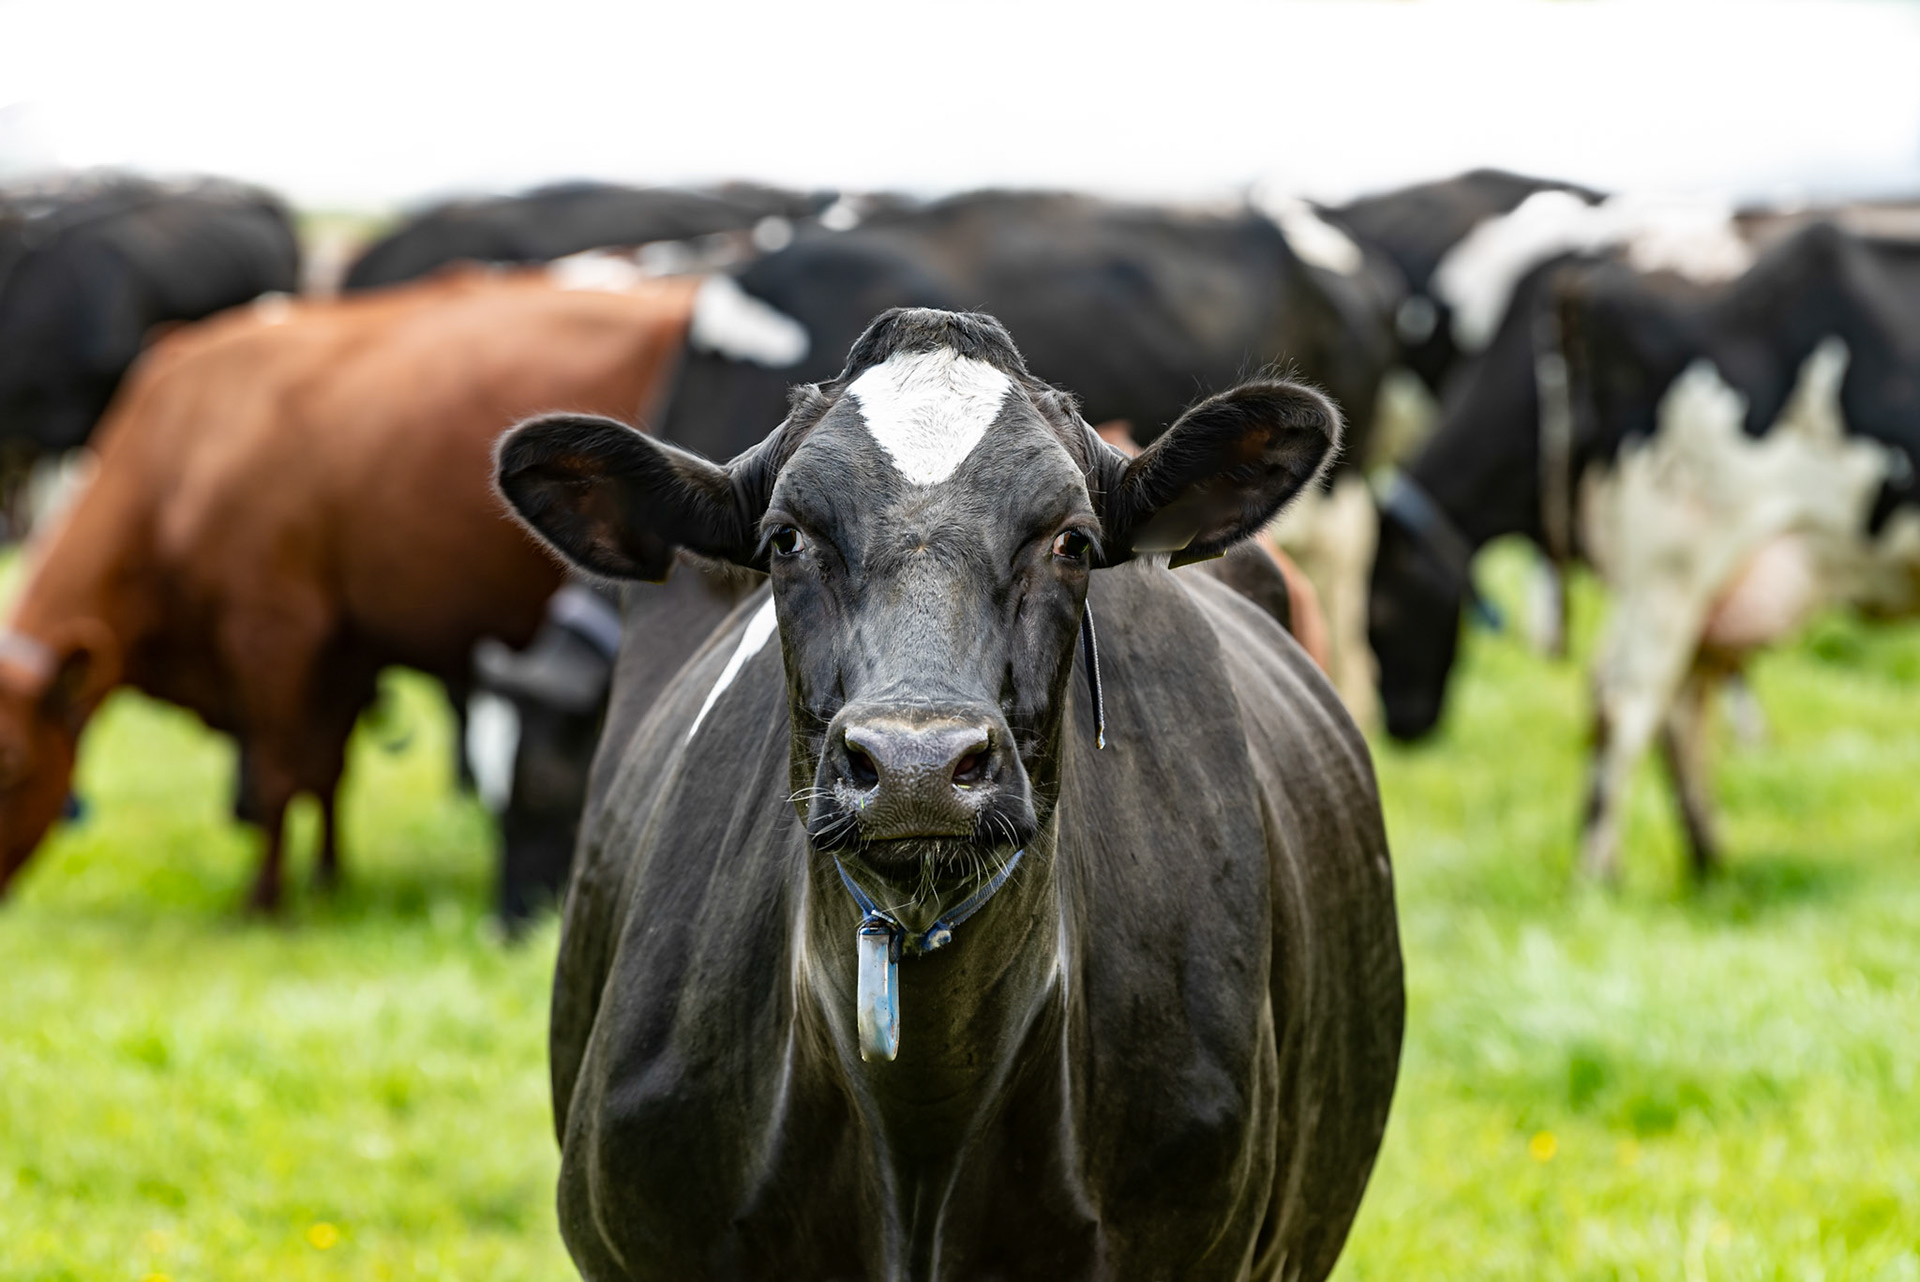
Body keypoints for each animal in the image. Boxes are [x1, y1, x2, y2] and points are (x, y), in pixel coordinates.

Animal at [0, 269, 697, 909]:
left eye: (12, 769)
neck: (185, 450)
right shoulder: (343, 649)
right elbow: (327, 770)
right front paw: (329, 879)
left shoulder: (273, 632)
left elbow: (279, 775)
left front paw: (265, 901)